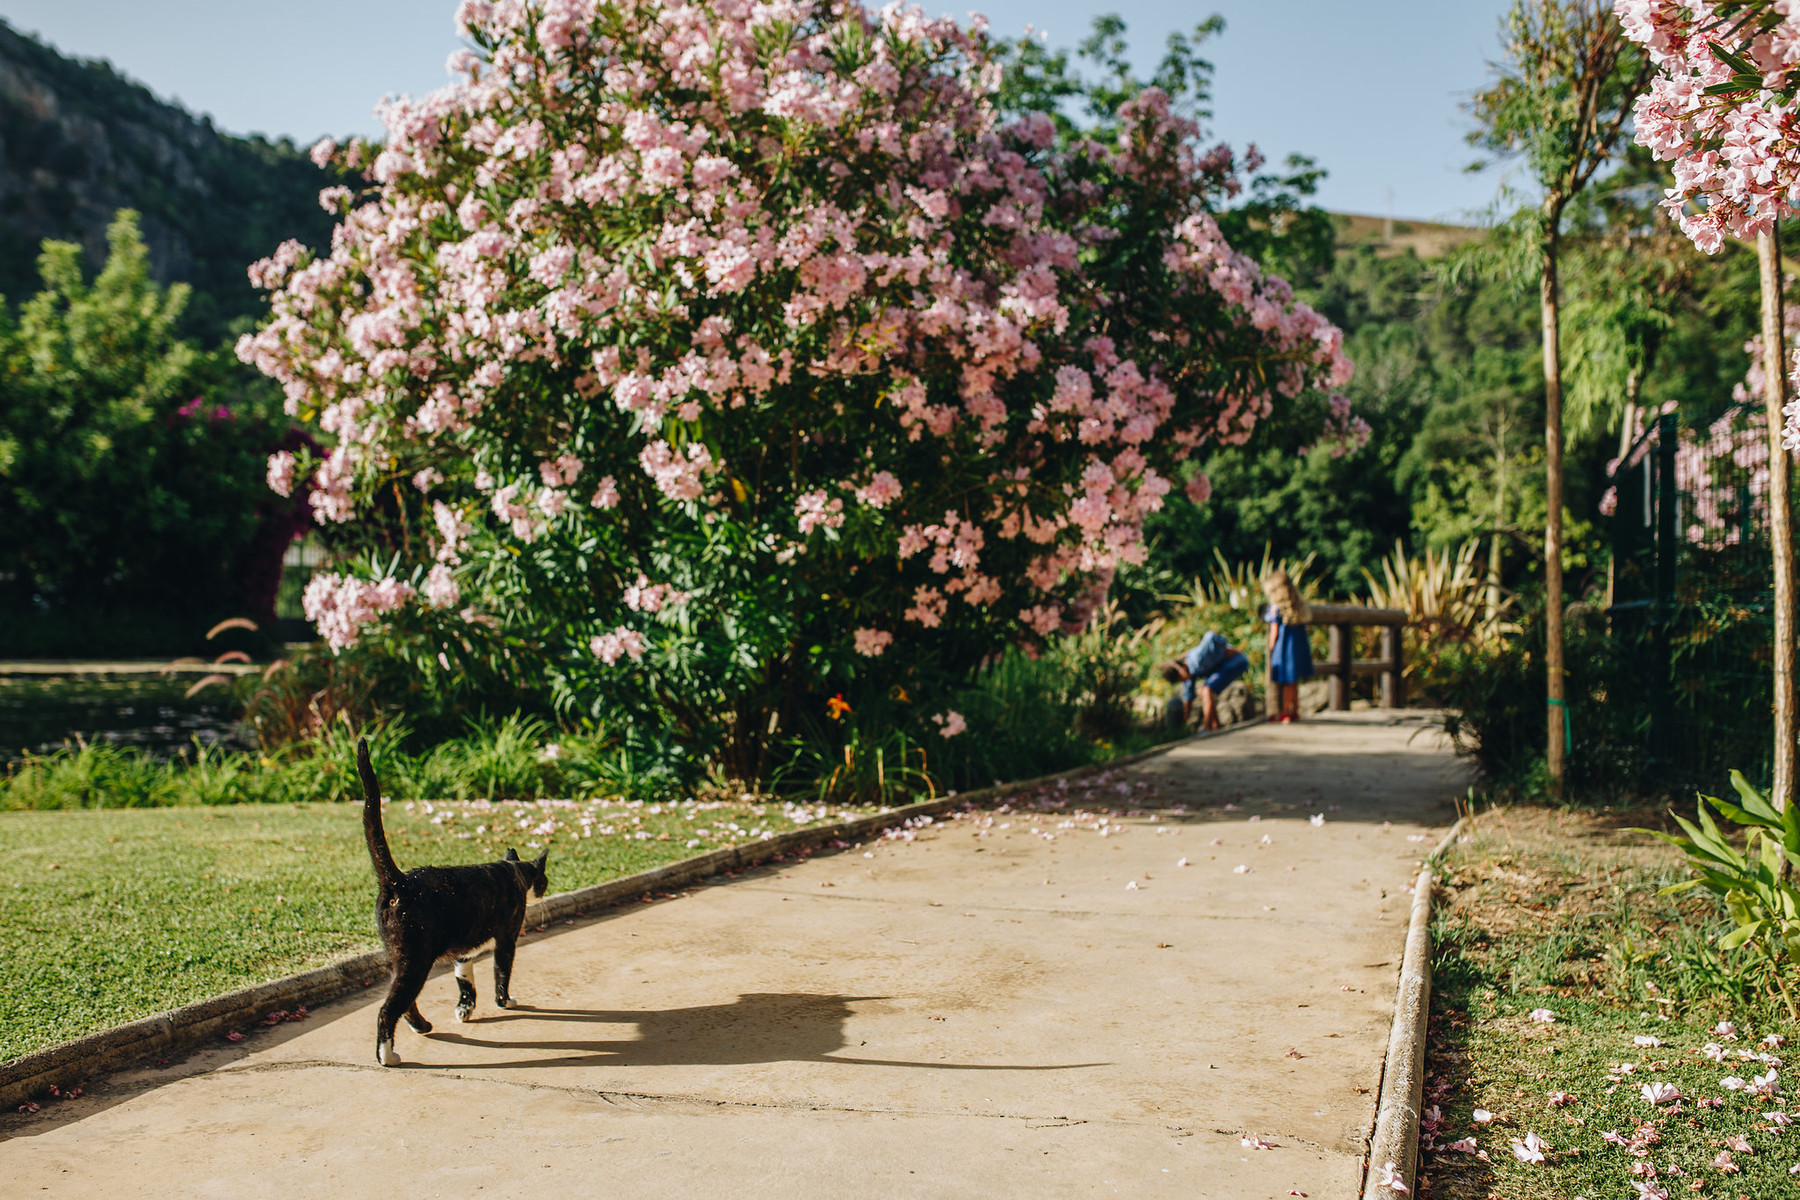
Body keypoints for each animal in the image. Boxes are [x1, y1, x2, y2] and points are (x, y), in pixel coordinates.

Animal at [354, 741, 543, 1072]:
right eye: (543, 880)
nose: (544, 890)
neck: (514, 872)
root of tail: (398, 881)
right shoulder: (507, 937)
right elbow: (501, 971)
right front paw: (504, 1001)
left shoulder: (464, 948)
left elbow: (464, 978)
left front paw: (465, 1008)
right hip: (416, 959)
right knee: (387, 1009)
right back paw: (388, 1057)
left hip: (399, 956)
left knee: (404, 1002)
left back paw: (422, 1027)